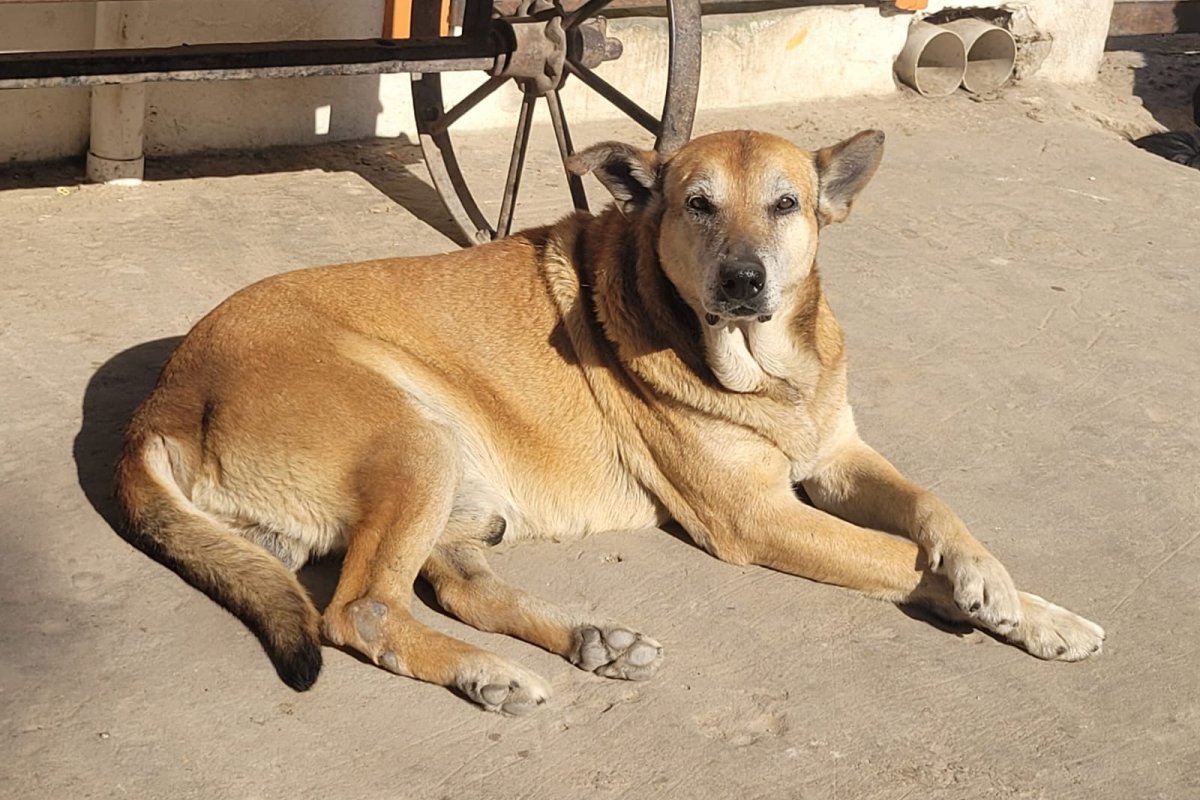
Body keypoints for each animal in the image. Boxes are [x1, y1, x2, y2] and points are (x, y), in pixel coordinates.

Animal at [115, 129, 1104, 714]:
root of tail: (165, 393)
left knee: (452, 586)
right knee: (360, 609)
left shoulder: (839, 454)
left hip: (440, 485)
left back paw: (582, 643)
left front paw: (1002, 588)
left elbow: (933, 508)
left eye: (786, 203)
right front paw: (1018, 608)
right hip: (415, 442)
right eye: (697, 204)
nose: (744, 280)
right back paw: (491, 671)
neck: (764, 374)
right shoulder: (760, 517)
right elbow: (899, 559)